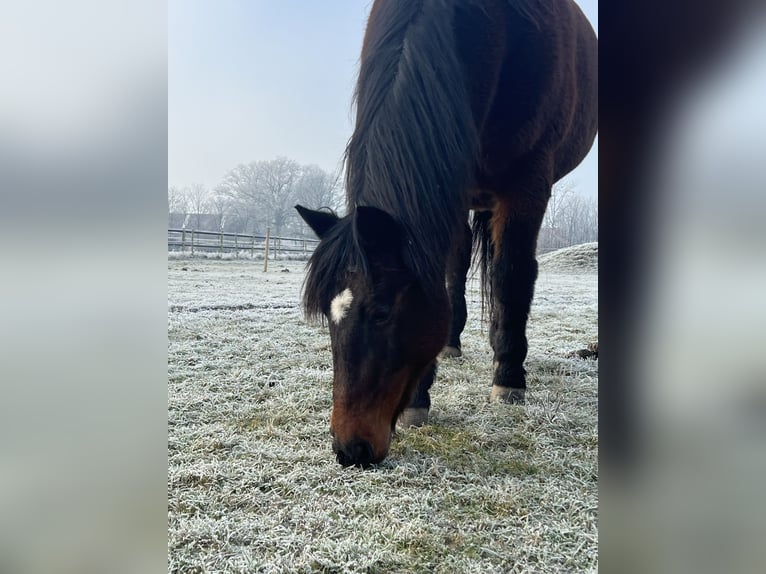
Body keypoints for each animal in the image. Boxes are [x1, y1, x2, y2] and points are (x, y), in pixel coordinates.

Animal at [296, 0, 598, 467]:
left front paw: (509, 379)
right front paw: (422, 397)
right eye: (328, 315)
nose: (350, 449)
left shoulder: (528, 184)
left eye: (381, 312)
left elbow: (512, 275)